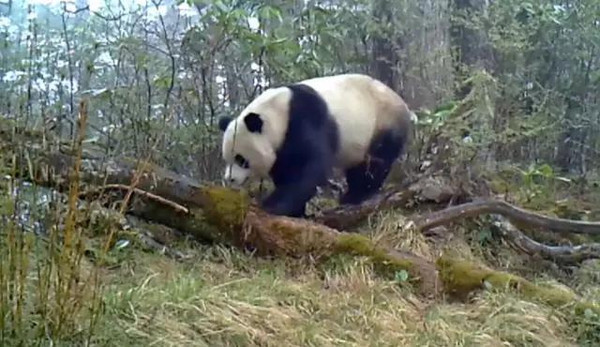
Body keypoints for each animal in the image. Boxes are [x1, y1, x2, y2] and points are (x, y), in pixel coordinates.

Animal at [218, 74, 414, 218]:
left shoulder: (305, 118)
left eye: (241, 159)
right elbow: (285, 169)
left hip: (382, 122)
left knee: (375, 162)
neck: (277, 112)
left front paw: (272, 205)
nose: (230, 179)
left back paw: (356, 195)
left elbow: (310, 165)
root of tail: (403, 105)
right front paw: (295, 211)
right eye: (226, 159)